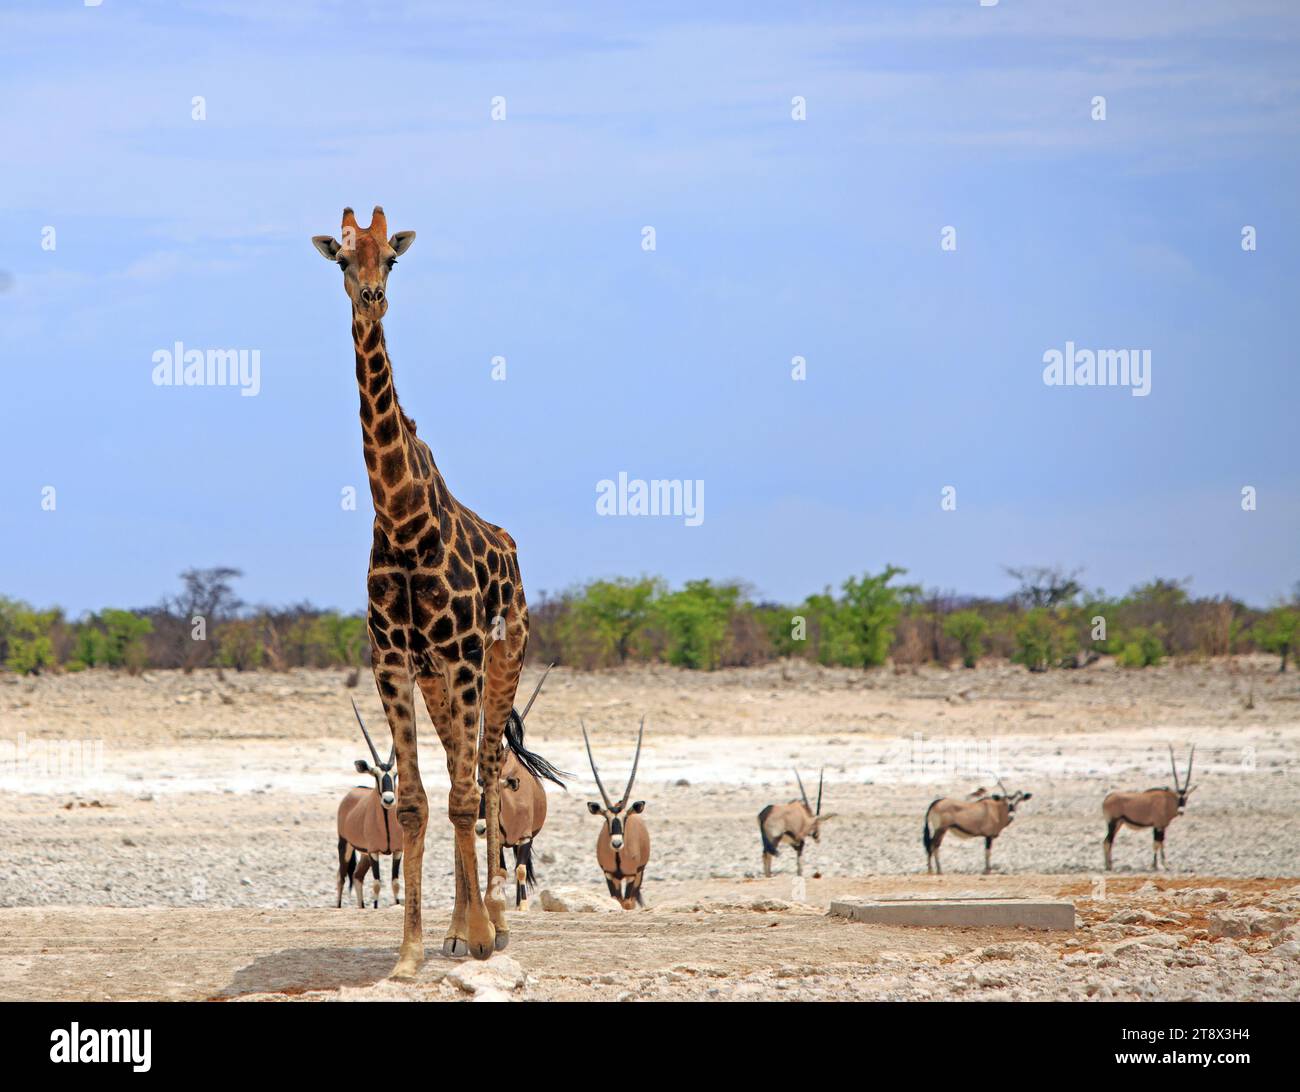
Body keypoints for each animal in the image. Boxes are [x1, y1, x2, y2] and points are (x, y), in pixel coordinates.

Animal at [335, 696, 400, 909]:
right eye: (375, 775)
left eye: (395, 775)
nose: (388, 799)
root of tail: (354, 790)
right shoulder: (374, 852)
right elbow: (377, 884)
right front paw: (376, 907)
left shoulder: (397, 851)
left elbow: (395, 883)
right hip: (345, 845)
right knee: (341, 876)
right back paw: (339, 907)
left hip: (362, 853)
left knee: (357, 876)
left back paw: (361, 907)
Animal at [473, 665, 564, 915]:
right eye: (478, 793)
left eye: (496, 794)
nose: (481, 828)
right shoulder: (499, 842)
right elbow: (502, 872)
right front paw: (500, 903)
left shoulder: (524, 838)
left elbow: (520, 870)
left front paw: (522, 905)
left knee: (520, 868)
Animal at [585, 712, 650, 909]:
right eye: (606, 818)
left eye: (625, 818)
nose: (616, 843)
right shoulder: (609, 875)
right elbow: (616, 900)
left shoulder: (632, 875)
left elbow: (627, 903)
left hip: (640, 873)